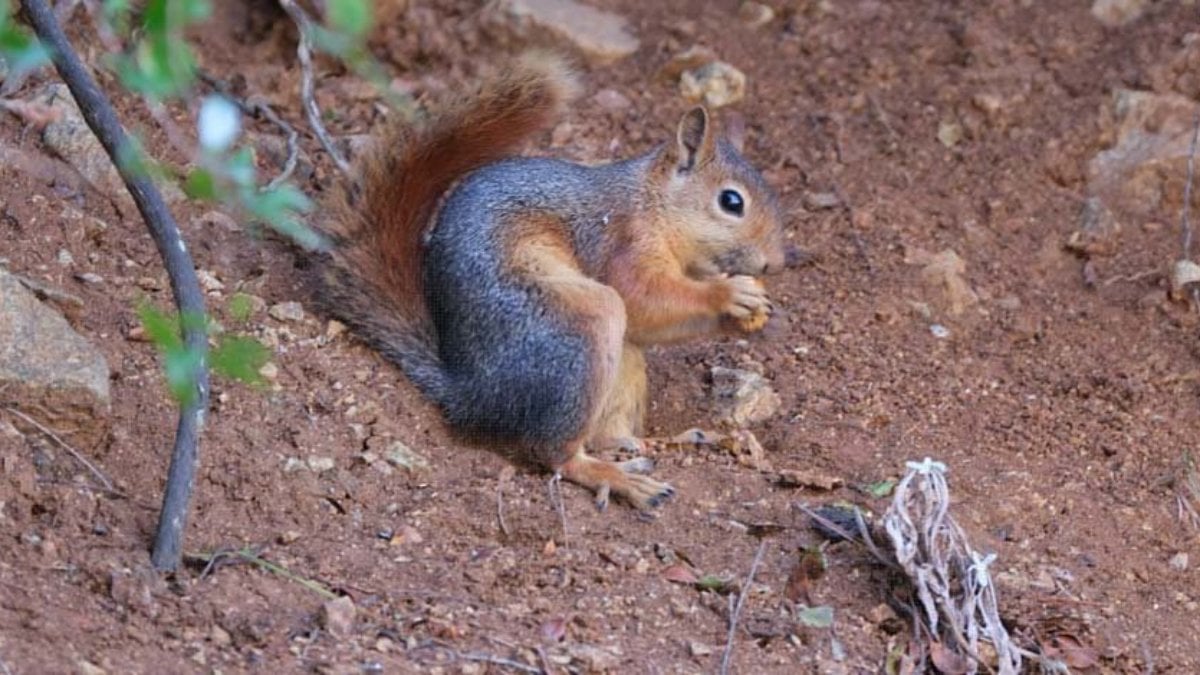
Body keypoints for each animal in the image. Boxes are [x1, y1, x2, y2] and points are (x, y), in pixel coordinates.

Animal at [319, 53, 787, 509]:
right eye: (731, 201)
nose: (777, 262)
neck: (654, 204)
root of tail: (472, 393)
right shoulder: (622, 241)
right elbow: (641, 299)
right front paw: (727, 293)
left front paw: (757, 311)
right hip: (582, 326)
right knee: (556, 454)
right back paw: (617, 478)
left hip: (622, 362)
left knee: (607, 434)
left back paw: (664, 443)